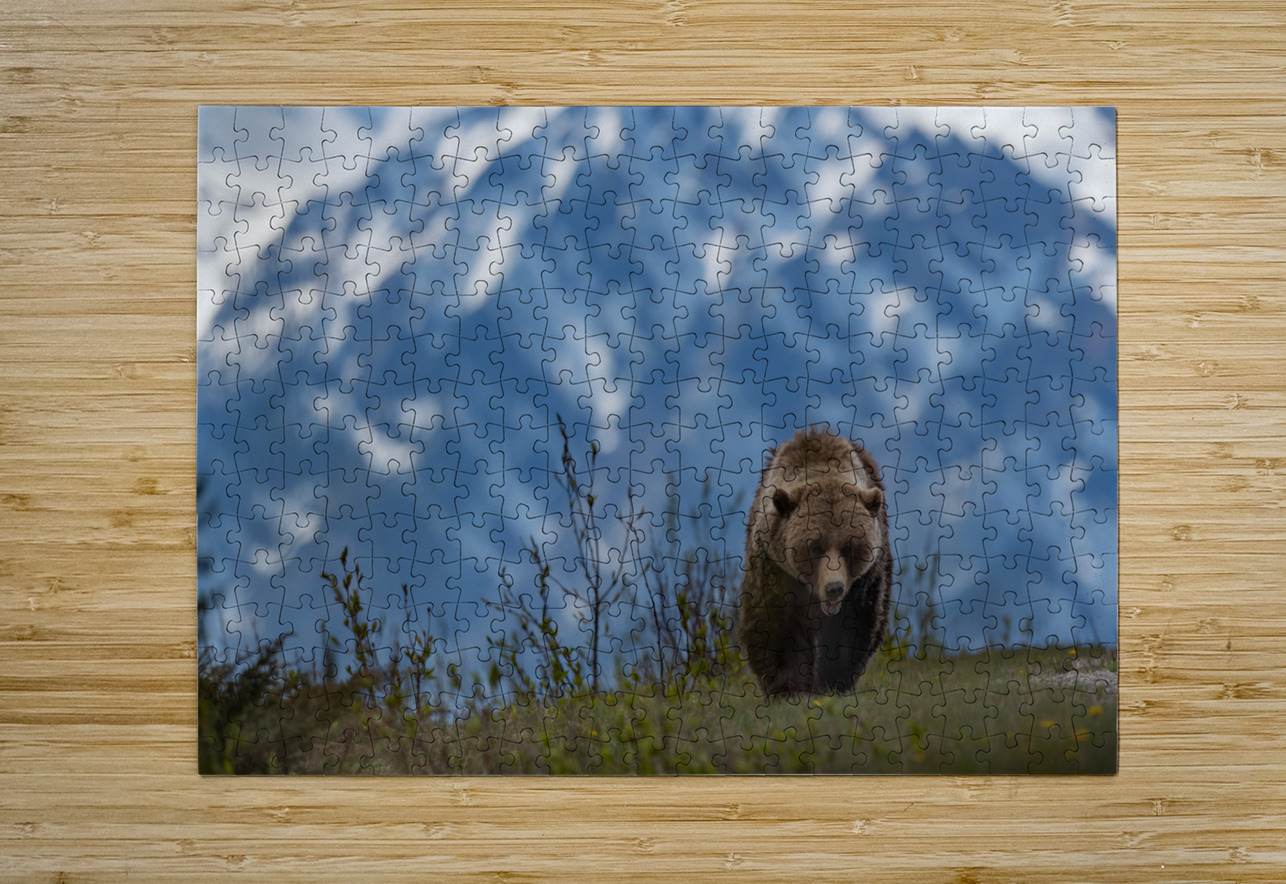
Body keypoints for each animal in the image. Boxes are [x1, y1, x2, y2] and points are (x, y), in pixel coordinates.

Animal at [737, 427, 893, 698]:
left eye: (849, 548)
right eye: (815, 548)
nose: (834, 588)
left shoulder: (863, 583)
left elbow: (851, 631)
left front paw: (831, 682)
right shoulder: (774, 569)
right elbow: (776, 629)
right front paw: (789, 687)